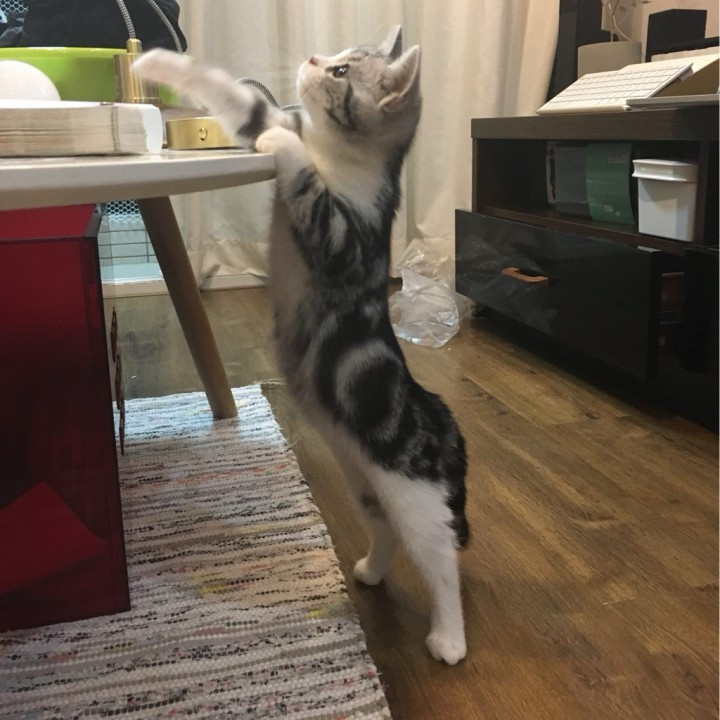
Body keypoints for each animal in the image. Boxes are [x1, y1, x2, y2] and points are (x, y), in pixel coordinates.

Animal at [133, 26, 469, 665]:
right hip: (365, 481)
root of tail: (440, 417)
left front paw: (285, 149)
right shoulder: (279, 119)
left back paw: (449, 637)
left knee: (439, 556)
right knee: (386, 529)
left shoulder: (344, 238)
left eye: (341, 72)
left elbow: (303, 181)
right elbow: (245, 105)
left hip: (414, 493)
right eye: (337, 56)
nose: (314, 56)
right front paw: (159, 64)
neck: (338, 155)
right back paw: (370, 570)